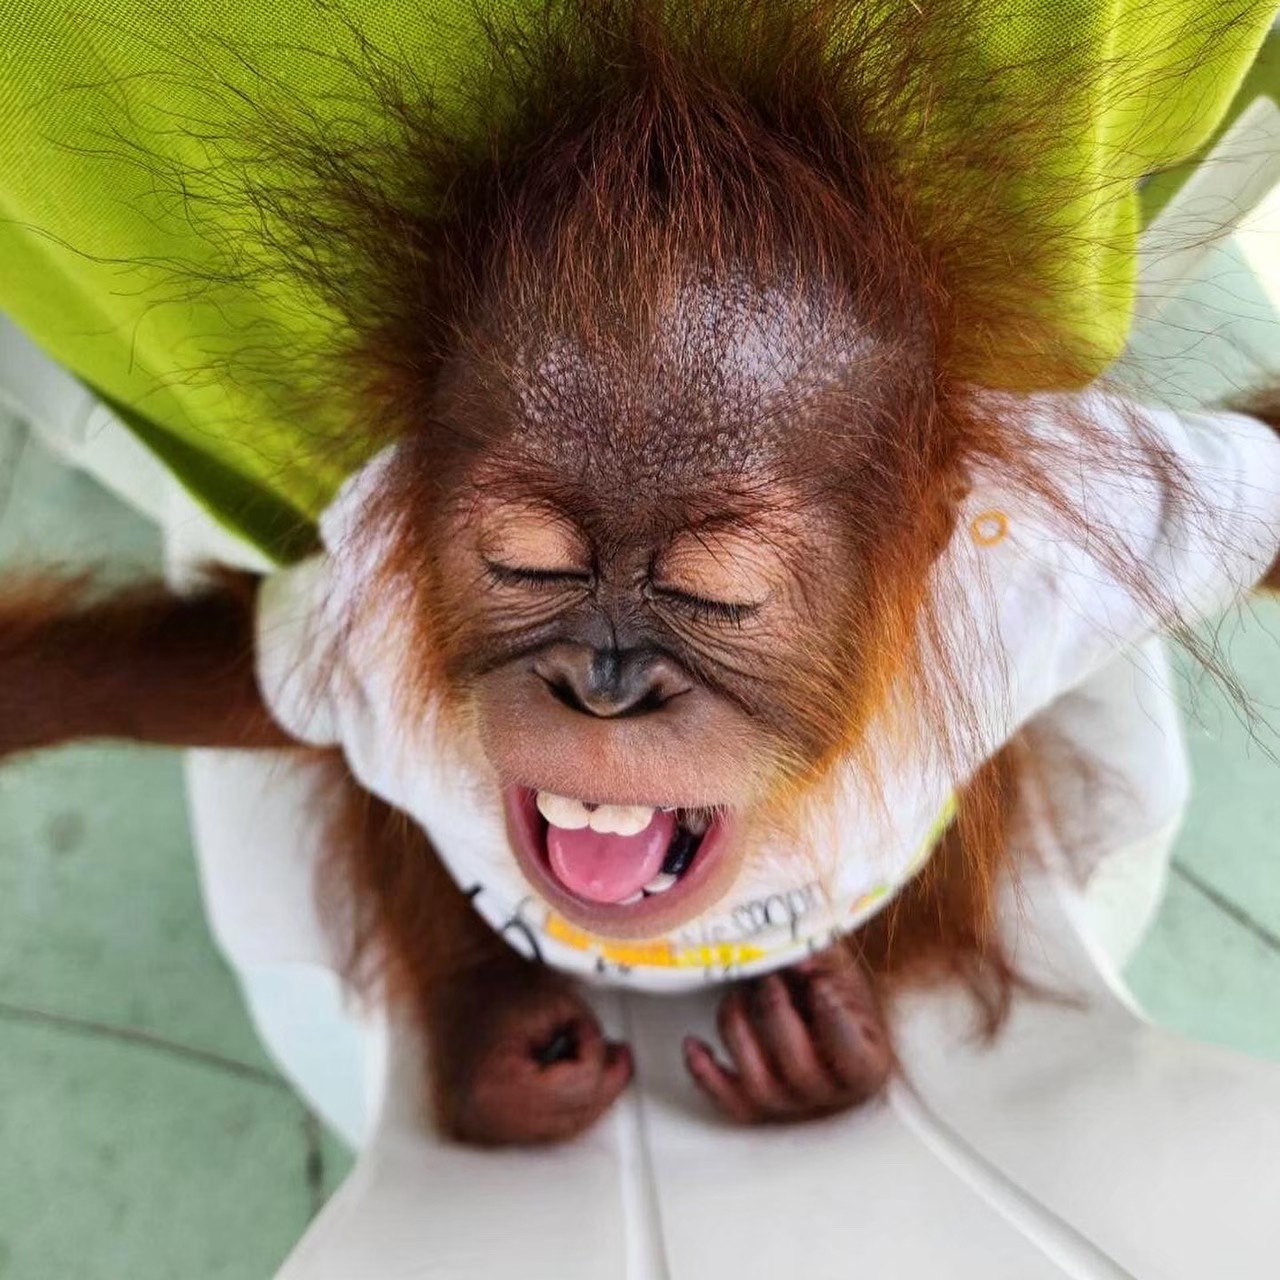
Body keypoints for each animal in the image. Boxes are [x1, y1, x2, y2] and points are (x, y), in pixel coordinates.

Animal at [2, 1, 1280, 1148]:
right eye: (527, 566)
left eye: (718, 594)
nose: (604, 684)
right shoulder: (347, 644)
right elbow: (185, 676)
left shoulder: (1071, 574)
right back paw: (506, 1048)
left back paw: (814, 1047)